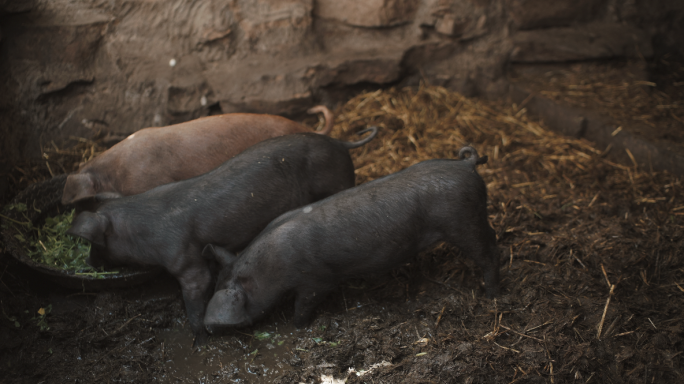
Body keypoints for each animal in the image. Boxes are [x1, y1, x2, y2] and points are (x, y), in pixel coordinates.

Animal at [66, 127, 380, 346]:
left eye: (97, 244)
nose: (89, 263)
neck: (143, 228)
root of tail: (341, 142)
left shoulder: (185, 260)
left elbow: (196, 295)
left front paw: (200, 341)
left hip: (335, 181)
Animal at [202, 146, 496, 332]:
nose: (209, 327)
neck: (270, 266)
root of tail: (466, 164)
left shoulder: (316, 280)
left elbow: (304, 305)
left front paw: (297, 328)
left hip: (462, 221)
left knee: (488, 253)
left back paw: (493, 294)